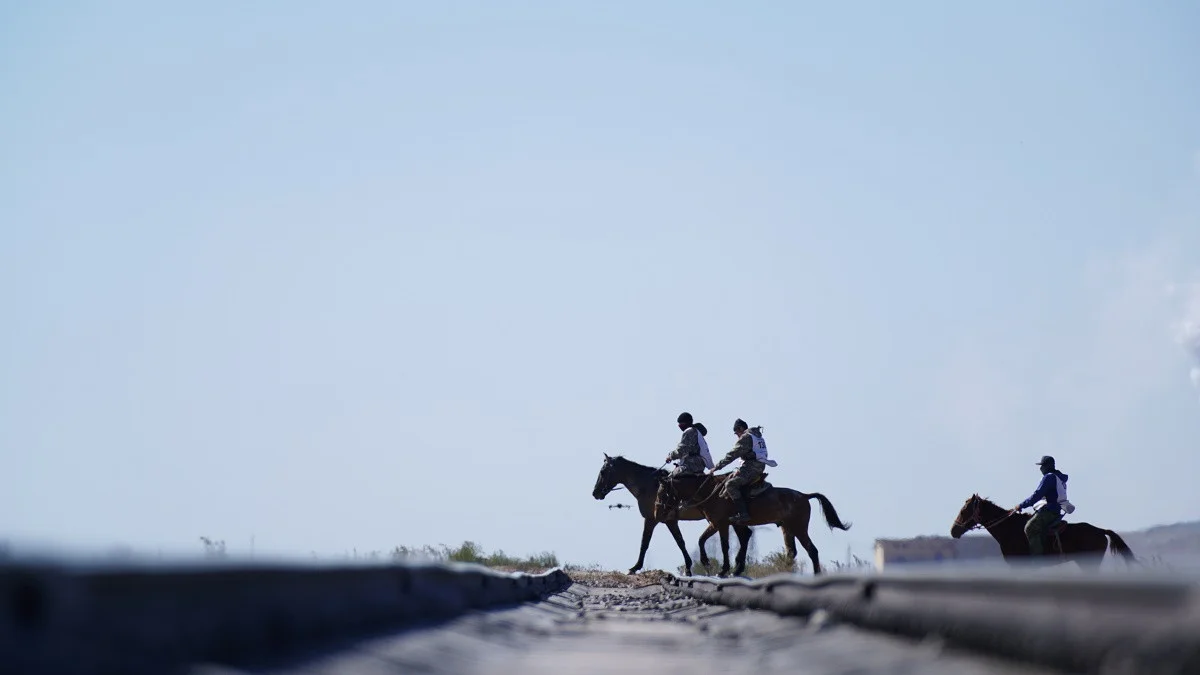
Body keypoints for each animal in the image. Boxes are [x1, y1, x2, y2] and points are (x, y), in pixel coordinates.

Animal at [592, 451, 748, 571]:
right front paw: (688, 566)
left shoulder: (652, 520)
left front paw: (635, 567)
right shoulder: (670, 521)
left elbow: (645, 542)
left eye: (603, 472)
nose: (595, 493)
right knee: (745, 536)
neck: (649, 486)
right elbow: (679, 541)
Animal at [657, 468, 854, 571]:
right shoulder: (720, 523)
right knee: (791, 552)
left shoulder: (720, 523)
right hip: (787, 528)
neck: (710, 492)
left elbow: (723, 545)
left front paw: (722, 568)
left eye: (663, 491)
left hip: (799, 528)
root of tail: (804, 496)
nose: (659, 509)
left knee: (812, 550)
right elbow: (704, 540)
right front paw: (713, 564)